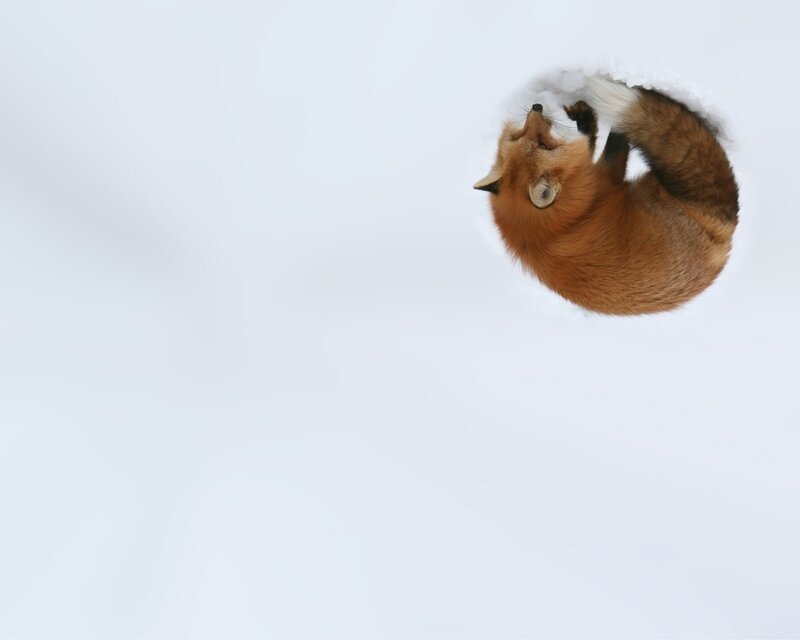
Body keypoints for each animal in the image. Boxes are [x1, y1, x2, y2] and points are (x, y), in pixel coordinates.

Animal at [474, 75, 739, 315]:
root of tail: (722, 241)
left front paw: (585, 120)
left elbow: (590, 142)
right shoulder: (606, 178)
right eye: (544, 145)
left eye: (519, 136)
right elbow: (613, 146)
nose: (536, 107)